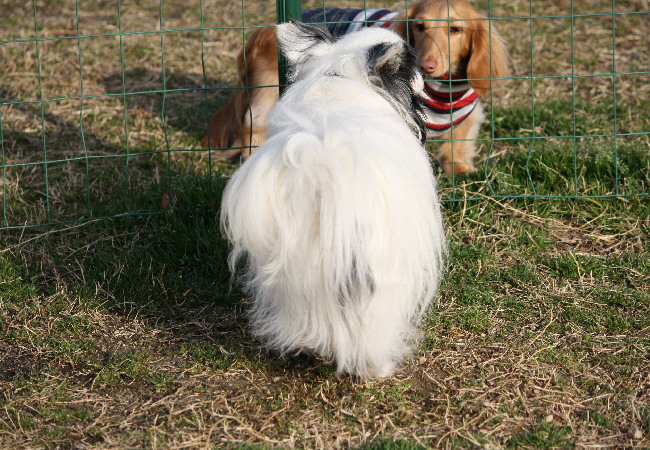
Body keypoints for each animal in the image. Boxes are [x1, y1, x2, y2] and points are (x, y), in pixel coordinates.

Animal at [203, 0, 509, 175]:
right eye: (419, 26)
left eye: (455, 30)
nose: (426, 65)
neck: (441, 91)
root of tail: (258, 33)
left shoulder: (467, 115)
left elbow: (459, 143)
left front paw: (461, 169)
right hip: (266, 98)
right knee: (252, 131)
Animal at [220, 22, 447, 378]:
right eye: (411, 65)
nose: (426, 70)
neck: (341, 71)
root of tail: (320, 173)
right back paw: (377, 366)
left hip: (292, 269)